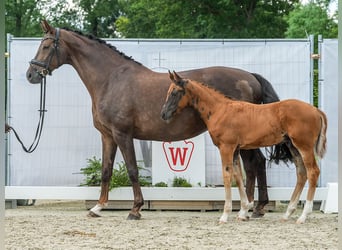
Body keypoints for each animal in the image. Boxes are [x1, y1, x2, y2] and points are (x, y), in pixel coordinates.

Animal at [26, 20, 288, 220]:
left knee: (254, 164)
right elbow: (106, 170)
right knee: (256, 164)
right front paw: (98, 207)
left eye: (46, 45)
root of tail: (250, 77)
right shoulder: (108, 136)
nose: (31, 75)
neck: (111, 79)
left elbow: (132, 170)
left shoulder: (123, 134)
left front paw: (135, 209)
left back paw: (250, 207)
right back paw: (254, 208)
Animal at [162, 71, 328, 224]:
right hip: (293, 146)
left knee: (313, 172)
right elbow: (238, 176)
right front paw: (242, 212)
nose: (163, 114)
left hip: (304, 146)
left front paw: (225, 215)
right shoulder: (235, 149)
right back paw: (288, 213)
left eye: (175, 92)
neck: (220, 110)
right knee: (302, 173)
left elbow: (227, 175)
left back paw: (303, 216)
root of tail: (316, 110)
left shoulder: (226, 147)